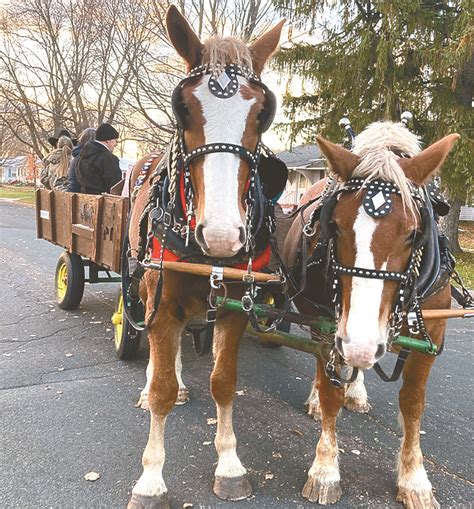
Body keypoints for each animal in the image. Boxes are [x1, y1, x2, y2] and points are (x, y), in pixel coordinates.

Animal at [124, 4, 284, 508]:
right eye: (183, 108)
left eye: (262, 113)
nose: (220, 235)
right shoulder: (160, 305)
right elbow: (159, 388)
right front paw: (150, 479)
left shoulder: (235, 309)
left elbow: (223, 381)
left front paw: (230, 465)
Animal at [284, 121, 462, 506]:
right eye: (334, 225)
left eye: (413, 233)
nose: (361, 343)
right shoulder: (330, 329)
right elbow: (329, 388)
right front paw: (325, 470)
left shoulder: (431, 338)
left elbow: (412, 404)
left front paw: (414, 479)